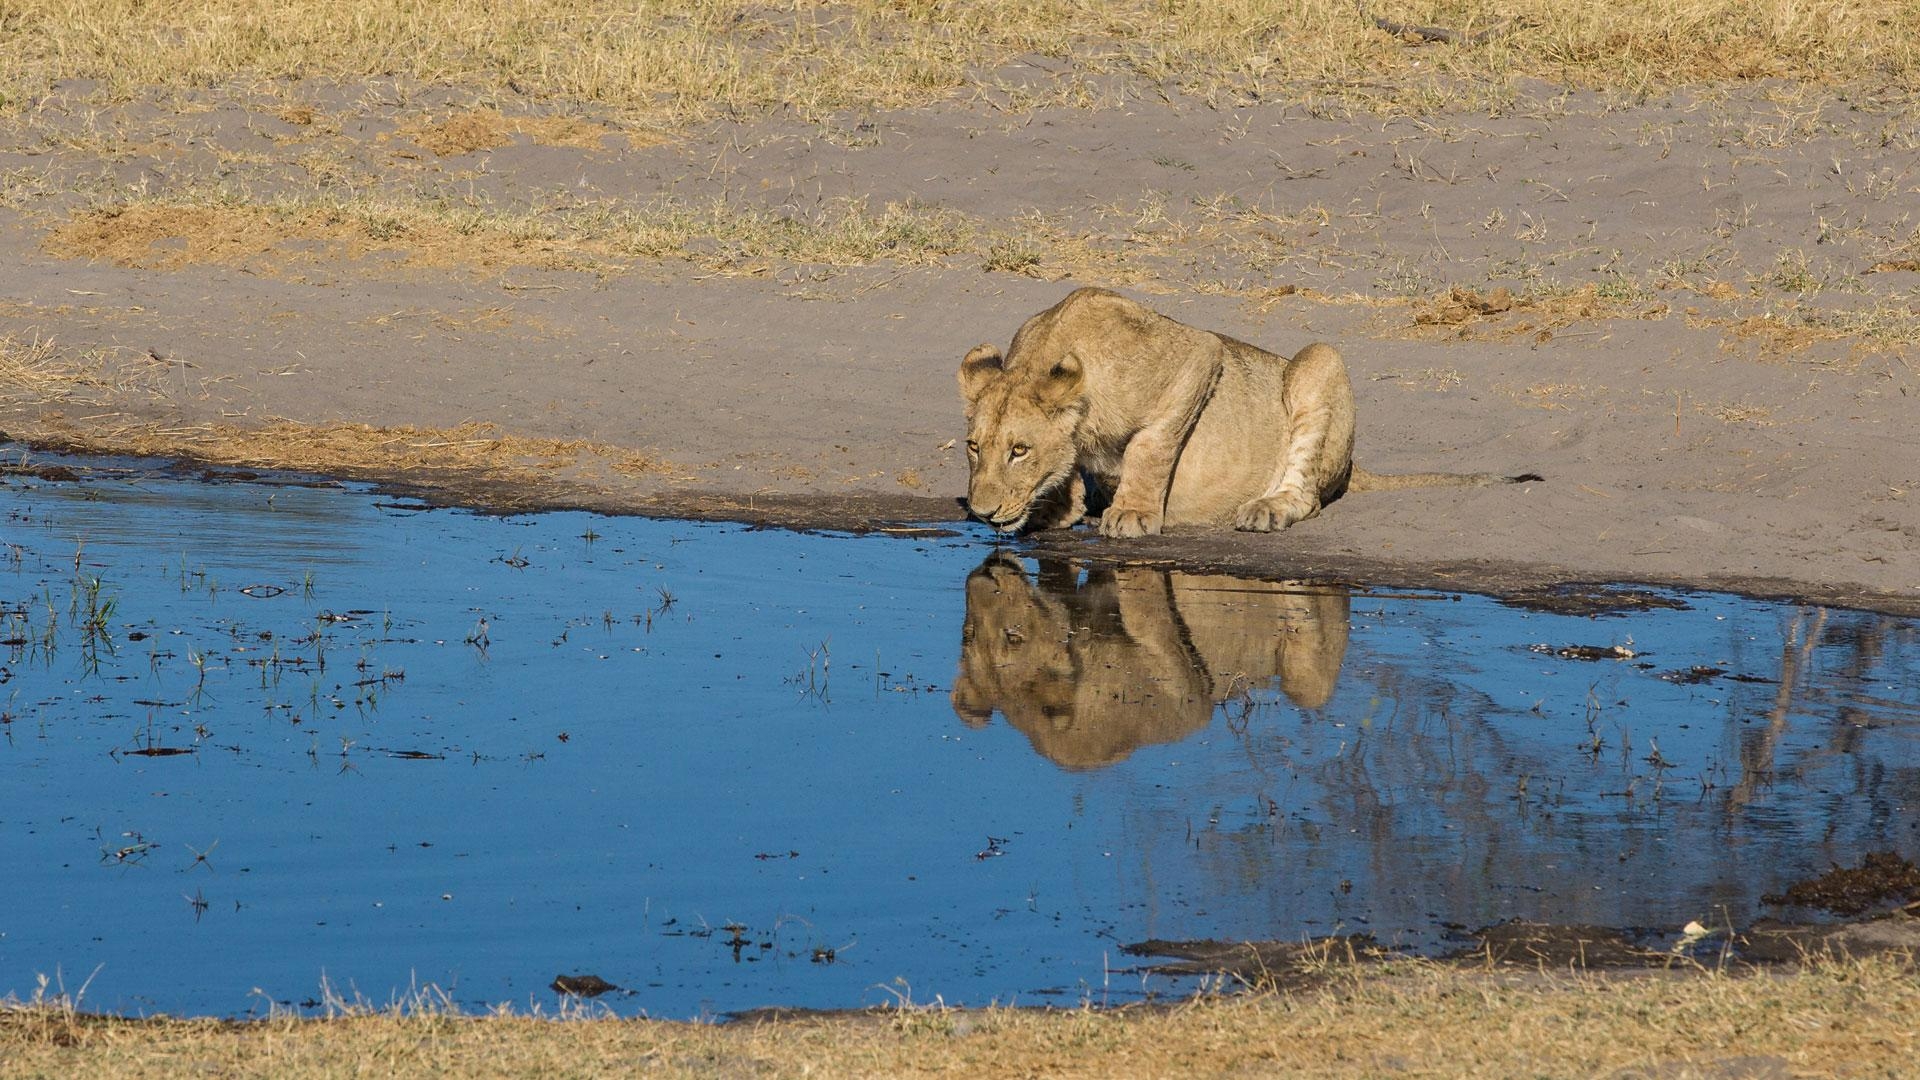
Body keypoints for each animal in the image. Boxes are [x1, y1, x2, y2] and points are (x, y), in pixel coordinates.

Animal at [956, 286, 1528, 538]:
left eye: (1019, 450)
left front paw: (1132, 514)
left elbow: (1150, 447)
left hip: (1319, 360)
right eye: (974, 447)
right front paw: (1061, 507)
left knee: (1308, 495)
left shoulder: (1199, 354)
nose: (981, 513)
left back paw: (1266, 509)